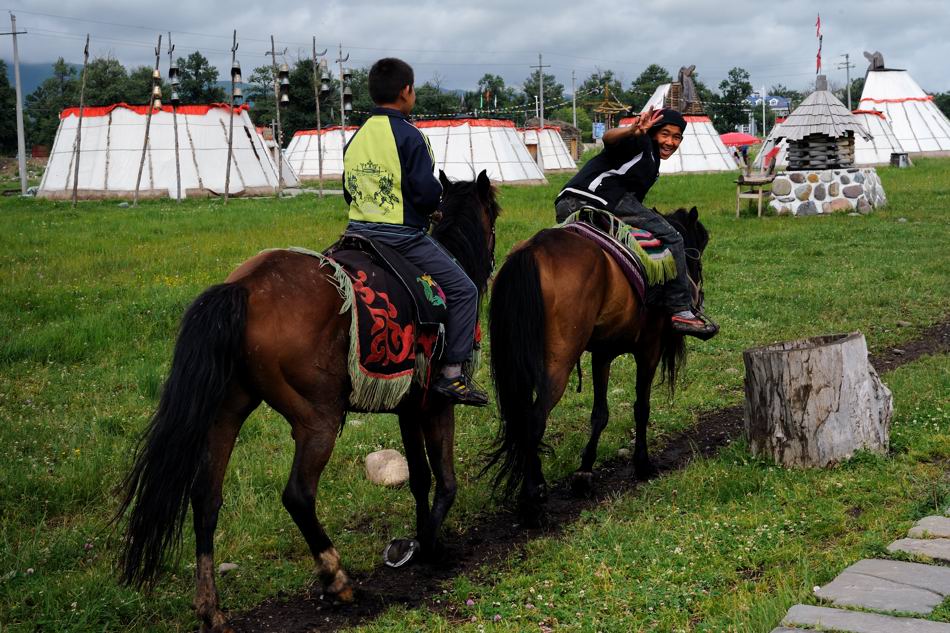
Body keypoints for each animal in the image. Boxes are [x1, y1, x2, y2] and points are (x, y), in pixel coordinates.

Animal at [116, 170, 502, 628]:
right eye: (495, 216)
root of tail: (242, 289)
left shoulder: (407, 406)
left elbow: (420, 478)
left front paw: (421, 541)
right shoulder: (436, 403)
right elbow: (445, 479)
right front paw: (430, 545)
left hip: (226, 412)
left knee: (206, 499)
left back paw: (211, 608)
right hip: (318, 419)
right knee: (298, 495)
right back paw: (338, 581)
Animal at [488, 207, 712, 524]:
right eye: (699, 246)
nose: (697, 295)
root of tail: (532, 252)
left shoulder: (602, 354)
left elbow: (600, 414)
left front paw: (584, 473)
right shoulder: (649, 348)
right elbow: (642, 408)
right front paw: (643, 464)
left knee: (520, 419)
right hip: (558, 365)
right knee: (534, 420)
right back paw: (532, 502)